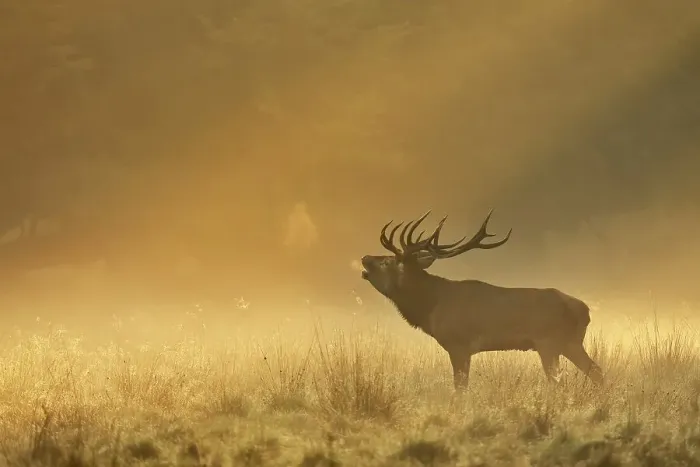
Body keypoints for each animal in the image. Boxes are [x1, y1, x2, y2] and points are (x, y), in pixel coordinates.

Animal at [360, 210, 603, 390]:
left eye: (387, 262)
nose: (365, 257)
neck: (430, 307)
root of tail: (585, 311)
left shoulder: (458, 344)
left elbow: (460, 387)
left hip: (550, 342)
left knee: (561, 380)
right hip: (569, 343)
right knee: (596, 371)